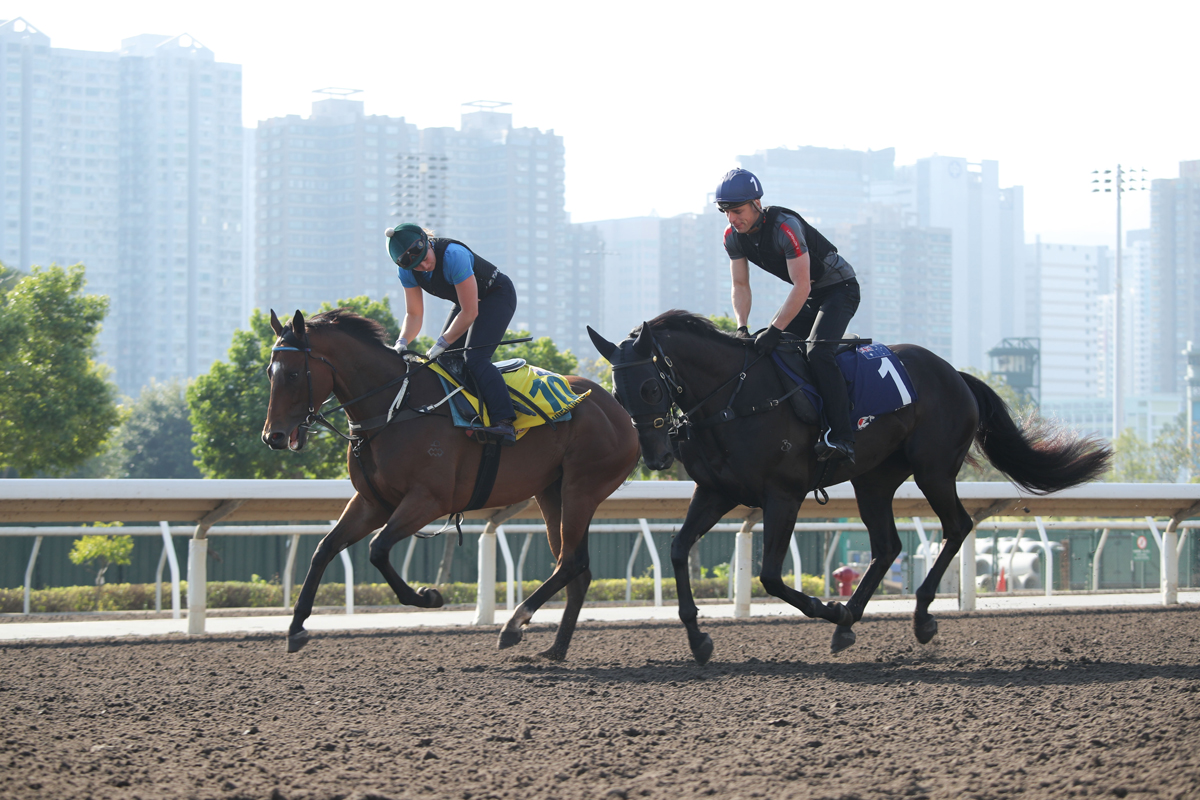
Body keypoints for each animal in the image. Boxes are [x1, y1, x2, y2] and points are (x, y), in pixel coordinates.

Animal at [260, 309, 638, 657]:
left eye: (293, 373)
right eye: (269, 372)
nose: (272, 436)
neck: (396, 407)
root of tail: (618, 409)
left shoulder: (429, 500)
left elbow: (378, 549)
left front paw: (427, 596)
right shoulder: (372, 503)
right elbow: (324, 549)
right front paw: (296, 627)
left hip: (581, 488)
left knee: (571, 562)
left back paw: (513, 625)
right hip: (550, 492)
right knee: (577, 568)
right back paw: (555, 648)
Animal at [585, 311, 1108, 662]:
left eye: (650, 388)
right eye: (617, 395)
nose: (656, 457)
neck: (735, 398)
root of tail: (955, 374)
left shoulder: (783, 495)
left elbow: (770, 576)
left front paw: (827, 608)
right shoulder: (717, 492)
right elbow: (677, 549)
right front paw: (698, 638)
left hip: (934, 469)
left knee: (957, 526)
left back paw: (918, 618)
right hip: (872, 479)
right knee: (888, 545)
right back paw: (852, 621)